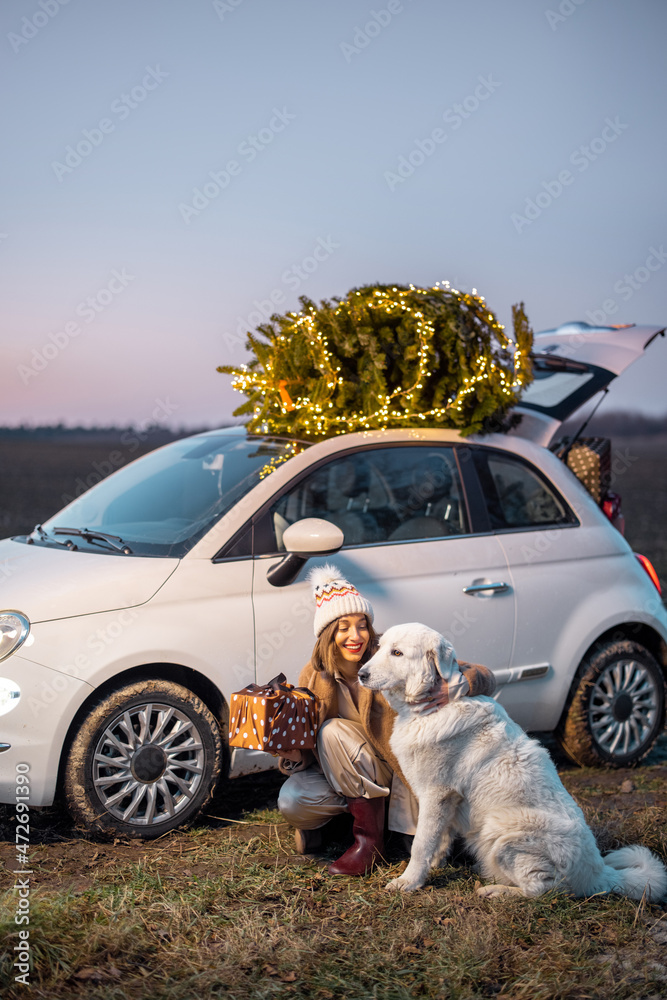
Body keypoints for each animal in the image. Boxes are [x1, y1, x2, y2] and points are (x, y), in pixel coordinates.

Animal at [360, 624, 667, 900]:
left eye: (397, 653)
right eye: (380, 647)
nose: (361, 674)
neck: (429, 708)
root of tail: (599, 874)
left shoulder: (436, 794)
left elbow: (421, 844)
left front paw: (409, 881)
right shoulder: (446, 801)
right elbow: (438, 838)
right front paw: (433, 866)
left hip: (503, 831)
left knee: (546, 890)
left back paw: (497, 891)